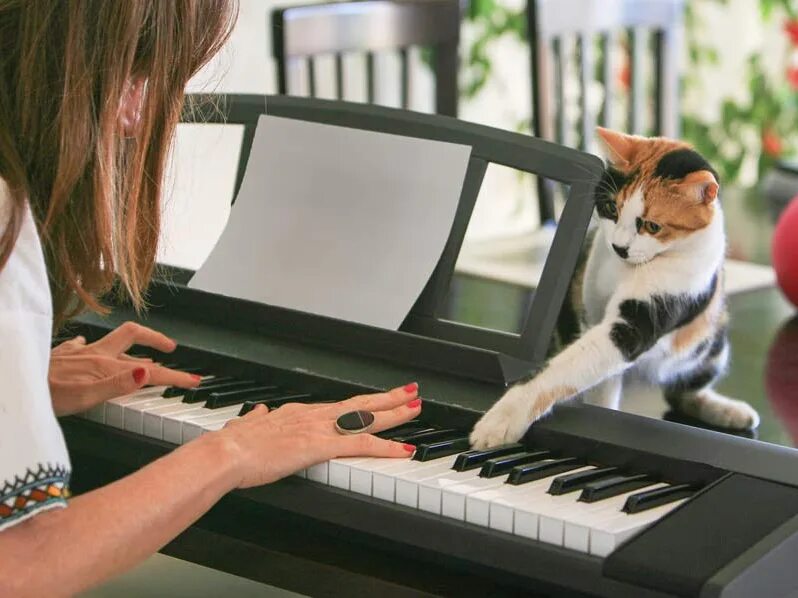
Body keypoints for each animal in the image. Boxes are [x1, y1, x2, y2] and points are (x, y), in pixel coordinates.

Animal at [472, 129, 760, 452]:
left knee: (683, 391)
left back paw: (730, 411)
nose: (619, 247)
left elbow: (572, 365)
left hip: (712, 342)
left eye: (652, 226)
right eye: (612, 208)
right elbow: (592, 376)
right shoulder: (588, 309)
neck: (628, 268)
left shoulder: (650, 311)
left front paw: (502, 418)